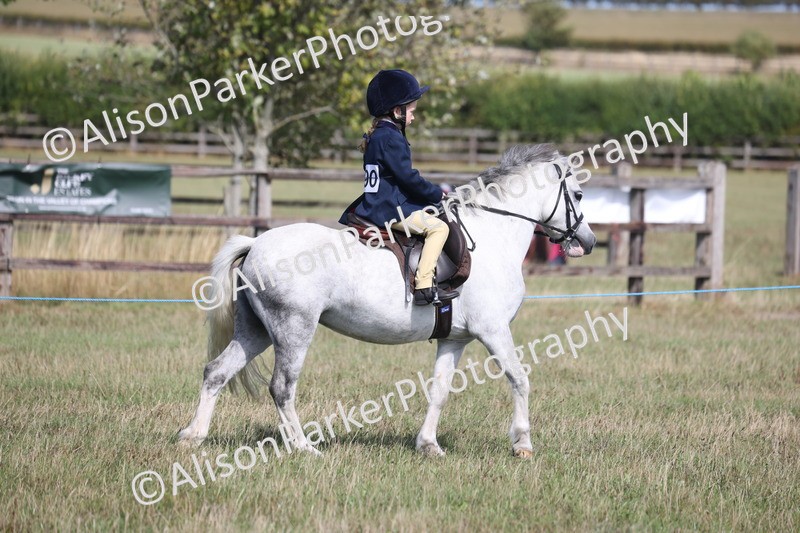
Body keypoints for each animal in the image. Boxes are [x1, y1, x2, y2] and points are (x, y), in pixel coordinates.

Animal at [178, 144, 597, 457]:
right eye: (578, 195)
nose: (588, 241)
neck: (494, 234)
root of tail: (255, 243)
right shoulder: (492, 330)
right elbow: (519, 378)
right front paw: (523, 443)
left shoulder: (455, 338)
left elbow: (440, 390)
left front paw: (428, 445)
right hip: (292, 329)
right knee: (282, 387)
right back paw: (303, 447)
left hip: (256, 331)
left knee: (216, 371)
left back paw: (193, 436)